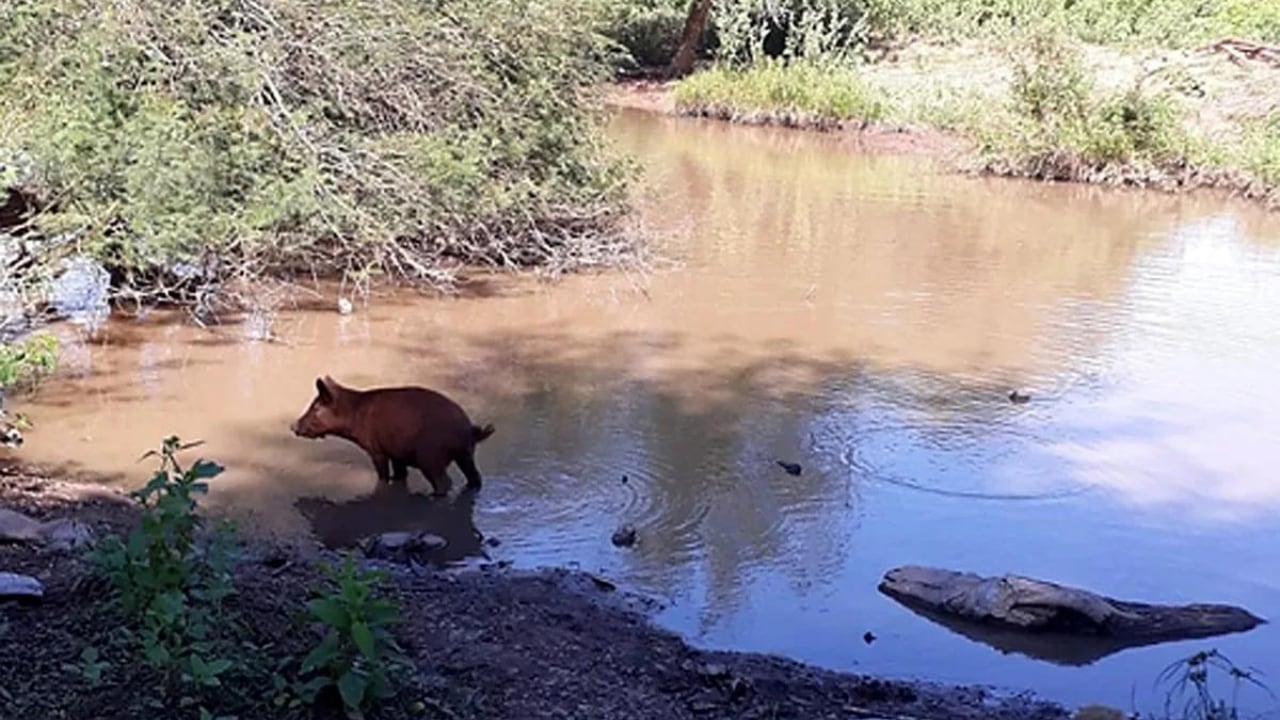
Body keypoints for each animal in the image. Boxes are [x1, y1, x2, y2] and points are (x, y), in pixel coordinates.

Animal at [290, 376, 494, 491]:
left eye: (315, 407)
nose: (293, 426)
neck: (354, 416)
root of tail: (469, 430)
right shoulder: (397, 453)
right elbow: (400, 475)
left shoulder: (376, 449)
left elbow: (383, 476)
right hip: (466, 455)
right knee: (475, 477)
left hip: (430, 457)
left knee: (445, 483)